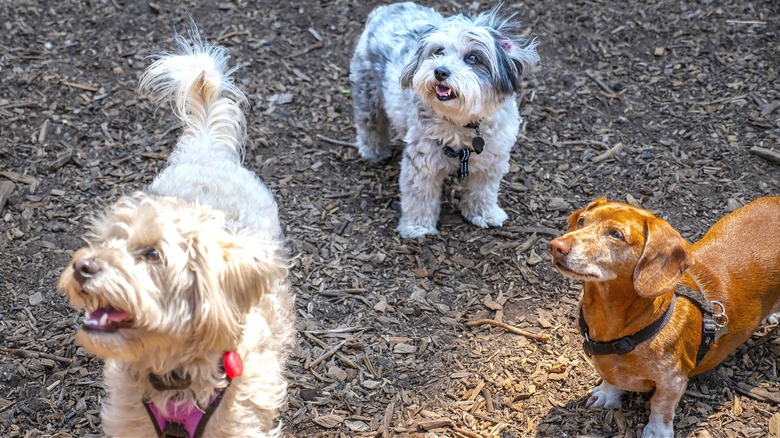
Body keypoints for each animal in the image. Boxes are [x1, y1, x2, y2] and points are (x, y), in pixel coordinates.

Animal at [58, 32, 296, 436]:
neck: (175, 377)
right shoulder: (132, 422)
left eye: (153, 254)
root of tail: (207, 147)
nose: (82, 267)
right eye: (106, 241)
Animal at [350, 1, 540, 238]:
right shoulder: (422, 162)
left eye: (473, 58)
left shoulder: (492, 160)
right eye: (438, 51)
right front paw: (417, 227)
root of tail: (387, 8)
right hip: (367, 91)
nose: (440, 71)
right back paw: (374, 151)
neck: (463, 123)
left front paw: (484, 214)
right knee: (370, 124)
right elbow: (419, 197)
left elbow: (483, 190)